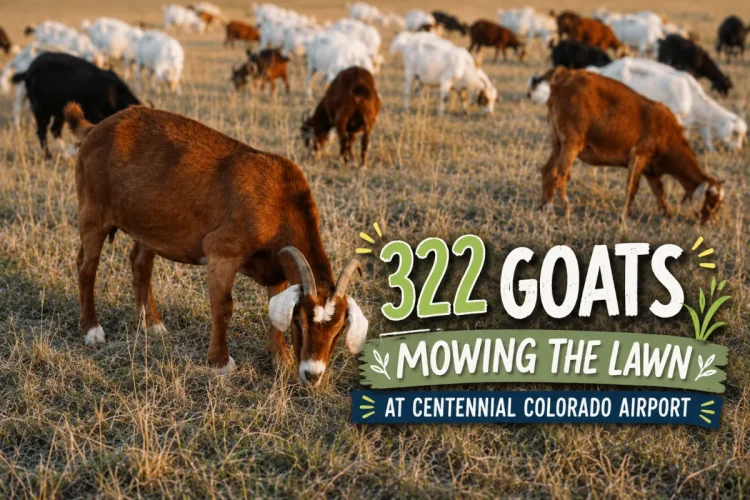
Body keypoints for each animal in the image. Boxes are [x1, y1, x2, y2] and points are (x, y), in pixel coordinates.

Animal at [63, 102, 368, 386]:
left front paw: (280, 358)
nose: (312, 375)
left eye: (338, 331)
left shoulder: (277, 266)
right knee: (87, 266)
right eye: (300, 322)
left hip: (148, 221)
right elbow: (223, 307)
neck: (281, 202)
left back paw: (152, 324)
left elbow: (272, 308)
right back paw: (91, 330)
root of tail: (95, 128)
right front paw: (220, 362)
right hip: (93, 210)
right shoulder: (222, 251)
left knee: (140, 262)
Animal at [530, 67, 724, 224]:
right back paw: (562, 209)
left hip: (557, 142)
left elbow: (659, 192)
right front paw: (625, 217)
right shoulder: (638, 156)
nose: (711, 222)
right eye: (712, 202)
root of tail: (564, 75)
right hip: (572, 142)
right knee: (558, 174)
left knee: (546, 170)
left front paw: (667, 215)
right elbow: (632, 188)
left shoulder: (650, 169)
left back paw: (544, 206)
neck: (667, 135)